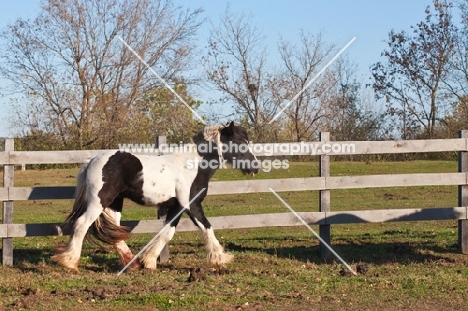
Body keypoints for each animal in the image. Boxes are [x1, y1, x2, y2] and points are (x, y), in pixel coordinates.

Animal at [51, 120, 260, 272]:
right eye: (239, 143)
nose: (255, 168)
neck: (193, 166)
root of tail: (92, 160)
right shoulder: (192, 205)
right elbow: (207, 227)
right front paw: (220, 258)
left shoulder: (177, 206)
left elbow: (167, 232)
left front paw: (149, 261)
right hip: (99, 202)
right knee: (82, 225)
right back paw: (70, 262)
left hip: (114, 203)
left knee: (114, 231)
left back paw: (133, 264)